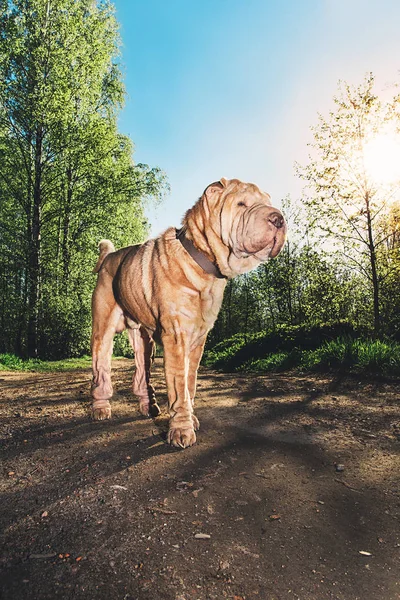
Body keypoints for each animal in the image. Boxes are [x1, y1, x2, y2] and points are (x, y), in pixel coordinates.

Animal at [92, 177, 286, 446]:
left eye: (268, 202)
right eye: (242, 204)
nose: (278, 218)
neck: (201, 260)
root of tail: (109, 256)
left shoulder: (197, 340)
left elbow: (190, 382)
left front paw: (190, 419)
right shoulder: (177, 335)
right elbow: (178, 385)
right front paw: (181, 430)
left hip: (143, 339)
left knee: (142, 369)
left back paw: (148, 405)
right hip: (102, 331)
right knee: (101, 369)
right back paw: (100, 408)